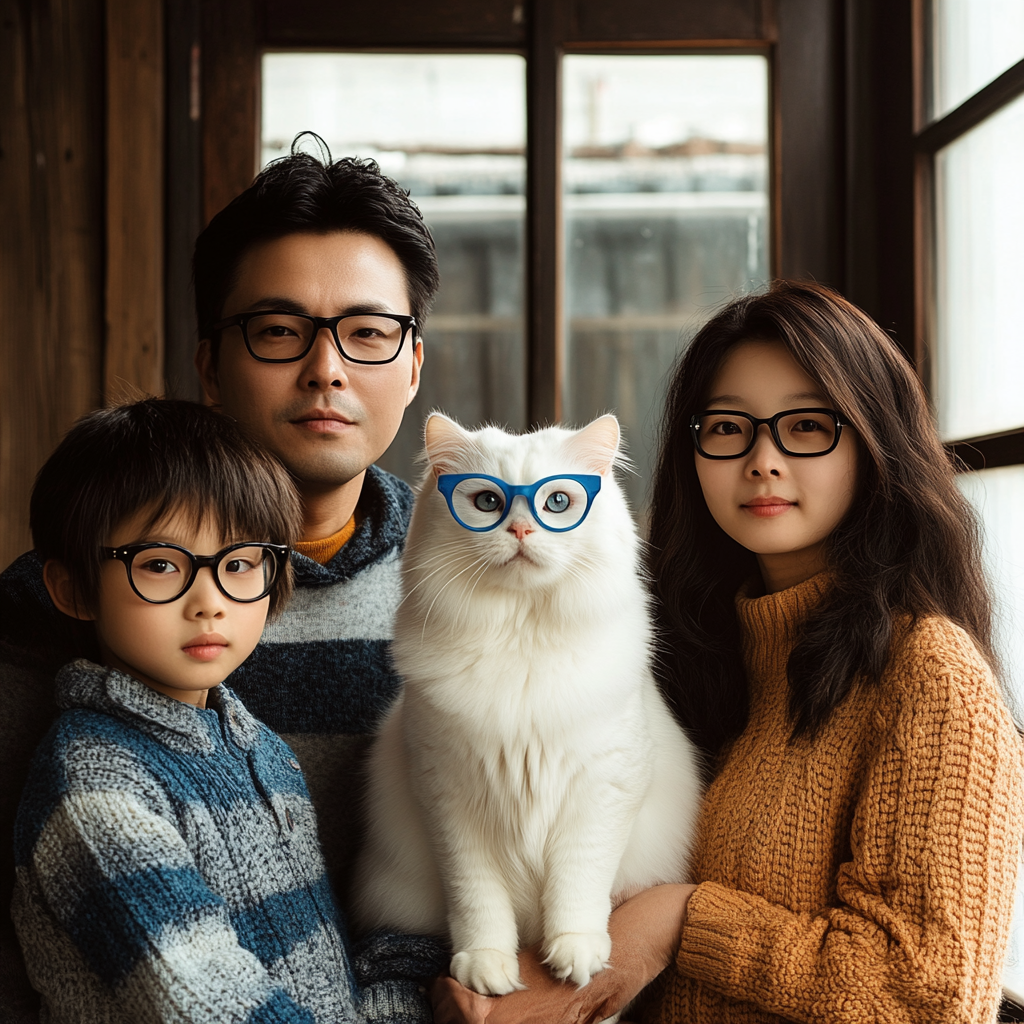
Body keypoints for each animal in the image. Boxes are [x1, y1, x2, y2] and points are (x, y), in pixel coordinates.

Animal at [354, 411, 704, 995]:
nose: (520, 532)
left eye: (557, 502)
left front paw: (575, 955)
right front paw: (486, 967)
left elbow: (577, 887)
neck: (522, 640)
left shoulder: (602, 794)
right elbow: (478, 904)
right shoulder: (449, 804)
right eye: (487, 502)